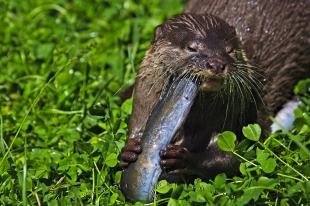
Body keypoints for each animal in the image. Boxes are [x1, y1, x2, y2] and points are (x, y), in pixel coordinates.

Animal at [119, 0, 310, 180]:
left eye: (230, 50)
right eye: (192, 48)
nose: (217, 64)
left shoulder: (235, 120)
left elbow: (230, 159)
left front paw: (184, 159)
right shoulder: (143, 108)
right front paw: (127, 152)